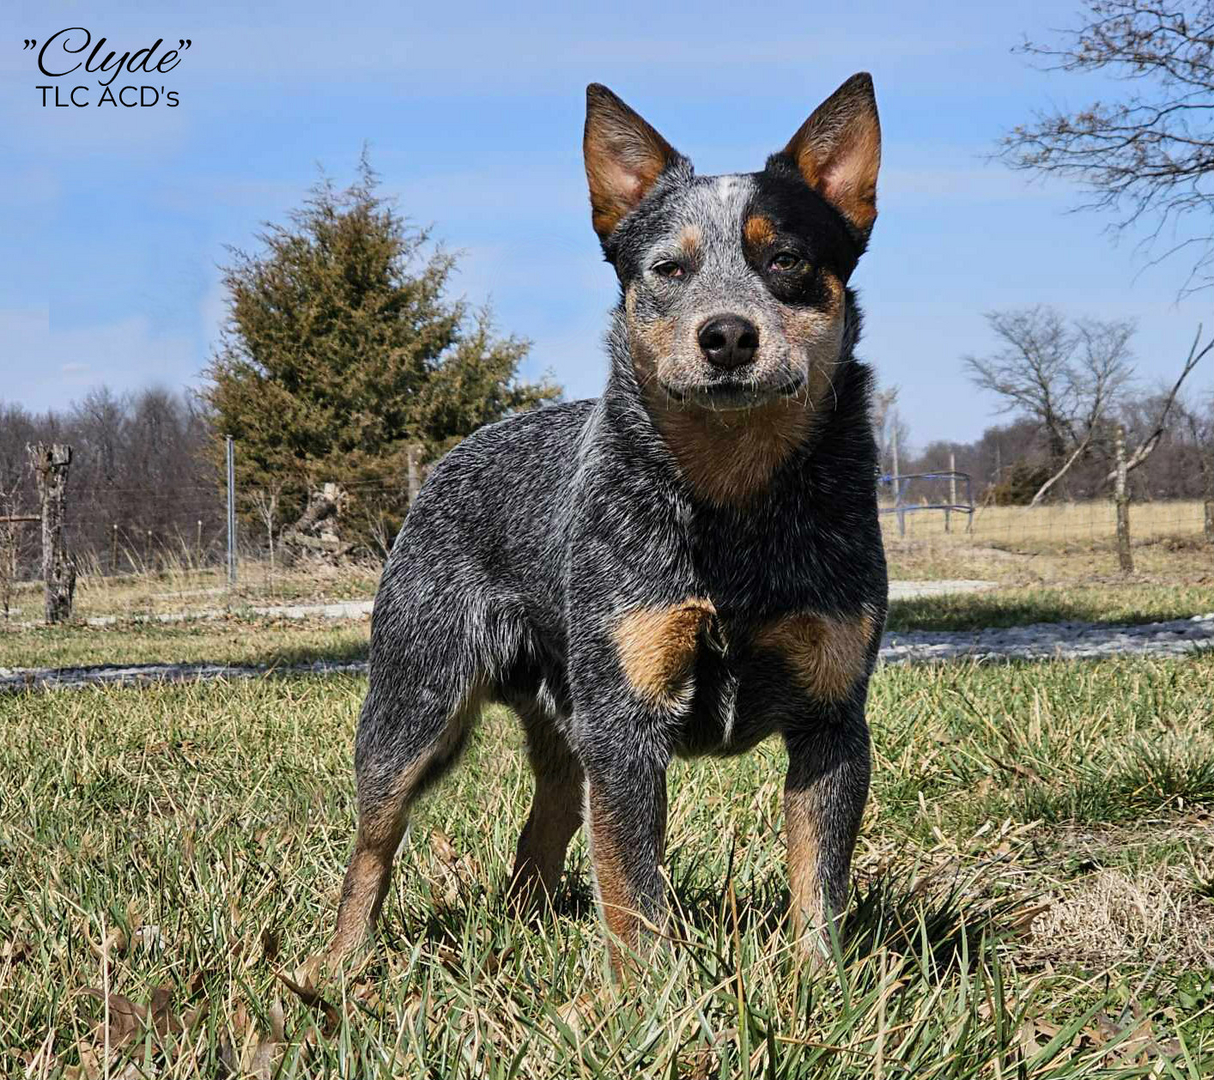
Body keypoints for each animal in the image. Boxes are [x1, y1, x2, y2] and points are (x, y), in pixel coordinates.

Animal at [315, 69, 883, 975]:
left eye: (787, 259)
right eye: (668, 267)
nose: (727, 333)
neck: (733, 503)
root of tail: (451, 457)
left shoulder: (832, 718)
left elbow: (817, 886)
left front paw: (820, 985)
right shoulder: (623, 722)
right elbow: (633, 889)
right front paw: (650, 993)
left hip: (558, 723)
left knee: (543, 825)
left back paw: (526, 925)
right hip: (415, 704)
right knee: (372, 846)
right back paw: (336, 967)